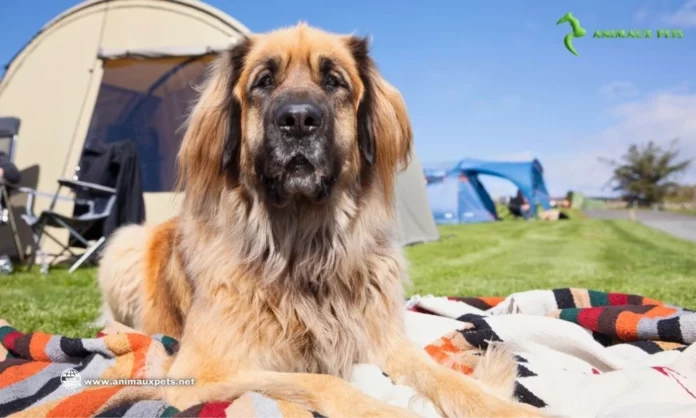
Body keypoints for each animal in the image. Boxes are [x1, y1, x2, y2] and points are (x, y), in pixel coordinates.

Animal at [98, 23, 544, 418]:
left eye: (334, 82)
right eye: (263, 82)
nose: (298, 120)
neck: (303, 247)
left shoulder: (385, 341)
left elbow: (446, 378)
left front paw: (508, 409)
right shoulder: (201, 374)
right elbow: (325, 381)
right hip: (123, 243)